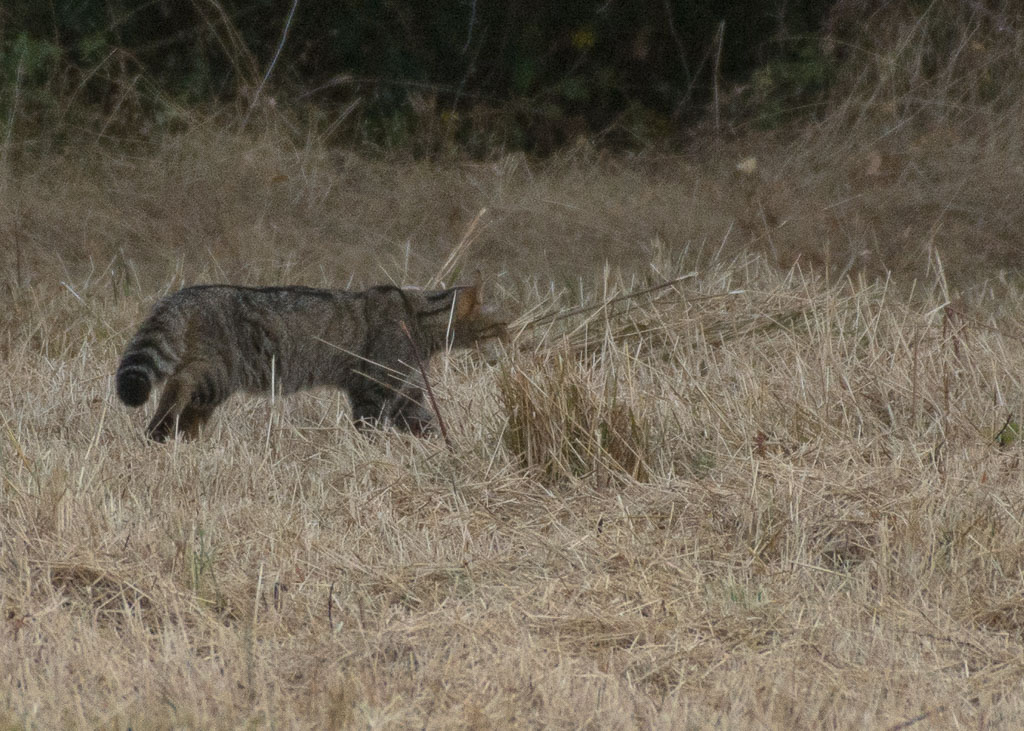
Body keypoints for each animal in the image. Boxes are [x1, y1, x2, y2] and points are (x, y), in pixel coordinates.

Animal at [114, 278, 505, 438]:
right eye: (499, 327)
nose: (512, 342)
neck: (418, 317)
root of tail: (186, 293)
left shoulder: (406, 392)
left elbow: (428, 426)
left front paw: (449, 451)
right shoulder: (374, 388)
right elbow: (369, 429)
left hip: (211, 382)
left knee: (185, 403)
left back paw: (175, 437)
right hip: (219, 372)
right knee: (176, 384)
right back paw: (159, 432)